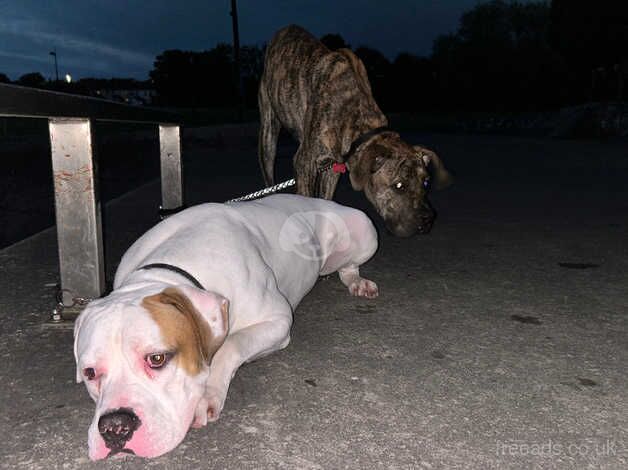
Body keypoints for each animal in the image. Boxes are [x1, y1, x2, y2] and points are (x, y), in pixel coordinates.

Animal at [73, 194, 378, 458]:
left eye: (157, 358)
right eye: (89, 373)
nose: (114, 428)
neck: (169, 268)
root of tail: (312, 198)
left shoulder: (278, 320)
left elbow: (231, 343)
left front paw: (208, 393)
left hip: (364, 229)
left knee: (349, 266)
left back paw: (357, 282)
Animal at [258, 24, 454, 237]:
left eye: (426, 182)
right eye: (399, 186)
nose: (428, 220)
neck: (356, 120)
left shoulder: (331, 168)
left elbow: (324, 200)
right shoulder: (304, 163)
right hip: (268, 132)